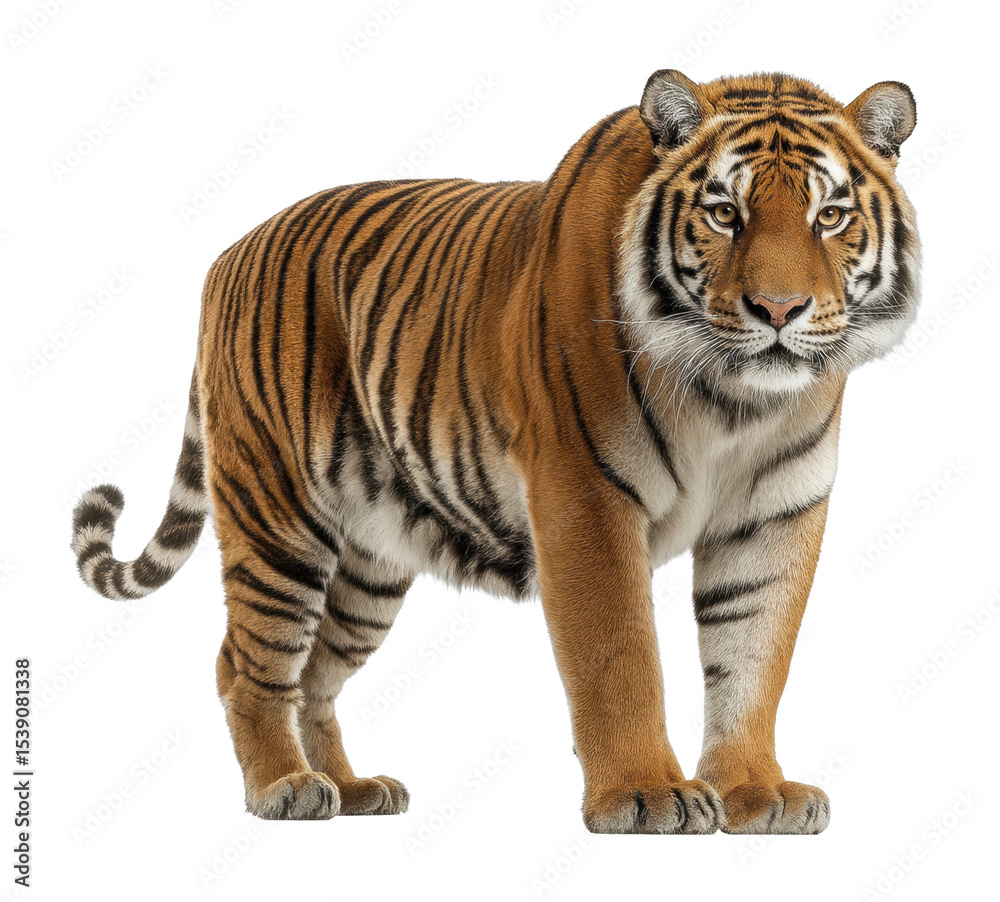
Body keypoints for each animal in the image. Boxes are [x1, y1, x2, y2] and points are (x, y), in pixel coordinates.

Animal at [71, 70, 919, 833]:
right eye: (723, 213)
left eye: (830, 215)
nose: (778, 309)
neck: (733, 401)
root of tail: (227, 258)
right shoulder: (585, 497)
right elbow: (620, 657)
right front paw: (647, 795)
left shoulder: (774, 515)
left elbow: (753, 658)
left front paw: (754, 794)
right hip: (279, 515)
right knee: (246, 663)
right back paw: (284, 787)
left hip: (369, 563)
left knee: (313, 676)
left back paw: (349, 787)